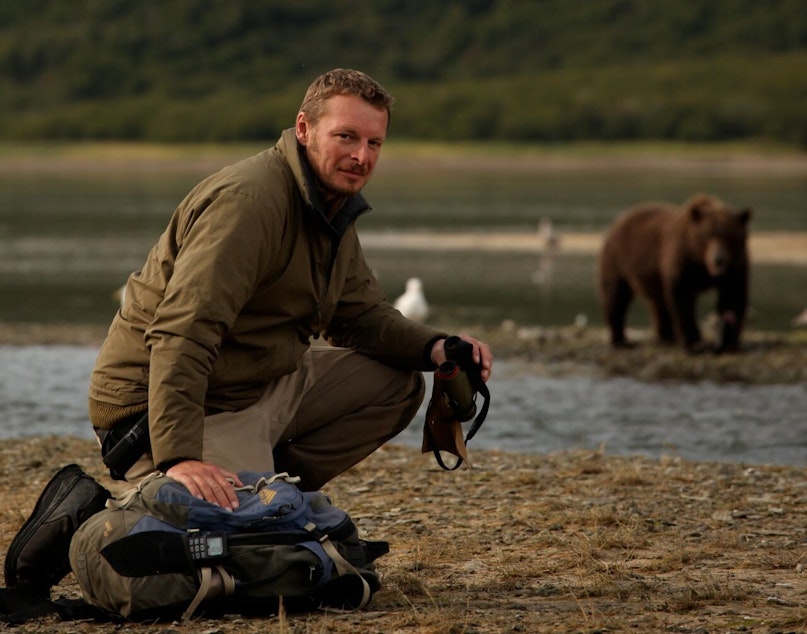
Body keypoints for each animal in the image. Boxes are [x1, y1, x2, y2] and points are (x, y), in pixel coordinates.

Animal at [600, 191, 752, 350]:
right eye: (707, 235)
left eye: (730, 236)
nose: (718, 260)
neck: (701, 262)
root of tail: (621, 218)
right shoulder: (682, 260)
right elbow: (682, 298)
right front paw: (694, 341)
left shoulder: (734, 267)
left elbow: (732, 296)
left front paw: (727, 342)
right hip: (618, 259)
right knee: (616, 296)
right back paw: (621, 340)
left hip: (653, 275)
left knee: (659, 302)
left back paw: (666, 337)